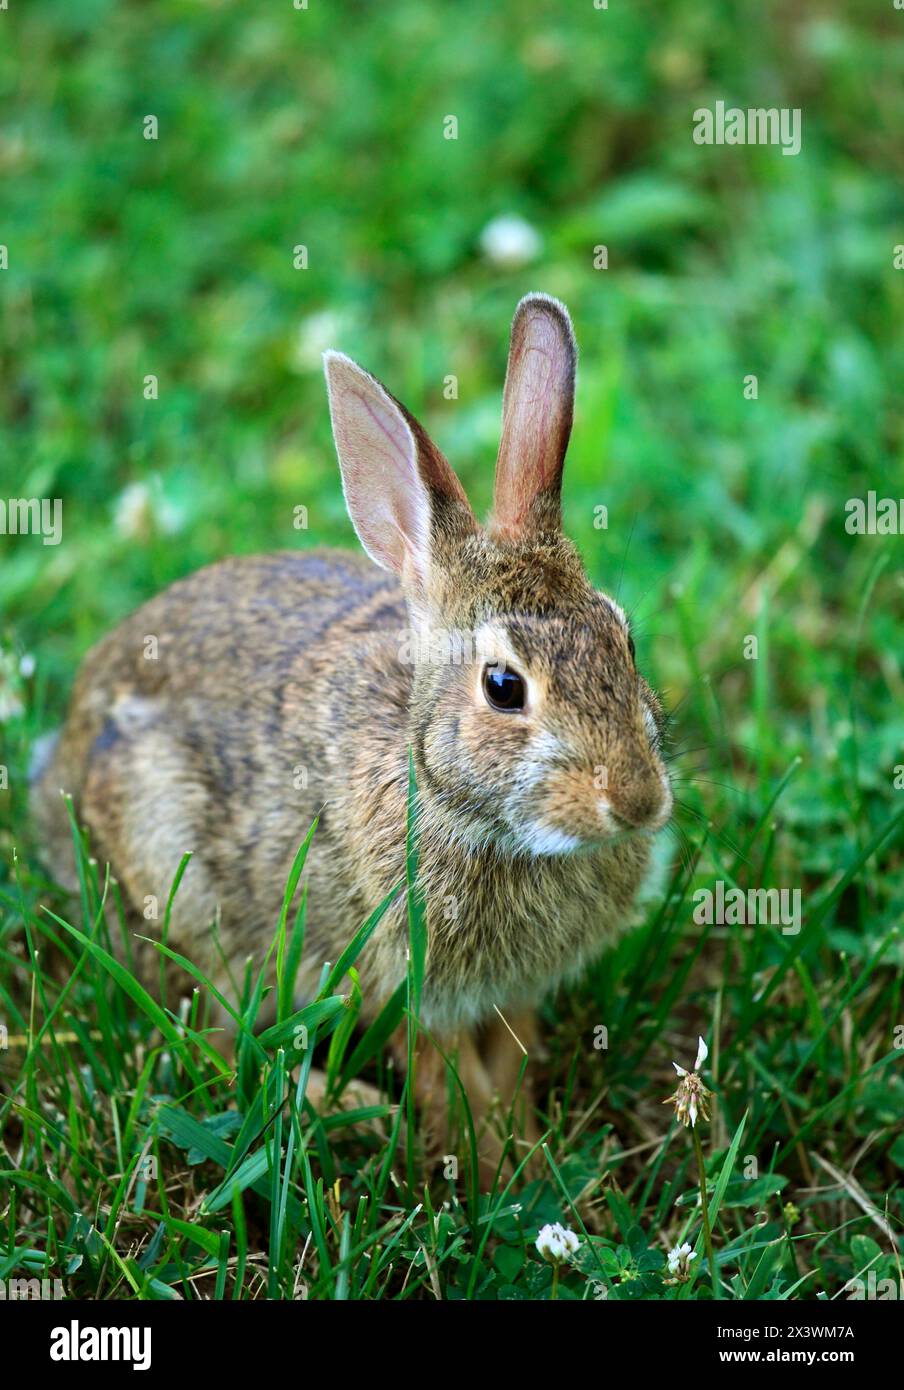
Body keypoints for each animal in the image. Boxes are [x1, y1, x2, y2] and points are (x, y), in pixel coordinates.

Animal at [31, 293, 672, 1176]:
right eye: (504, 687)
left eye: (624, 639)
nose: (638, 801)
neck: (447, 796)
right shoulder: (406, 977)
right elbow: (448, 1082)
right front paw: (487, 1167)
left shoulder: (510, 995)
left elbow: (510, 1067)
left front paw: (533, 1161)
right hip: (183, 886)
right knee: (208, 1045)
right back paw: (351, 1113)